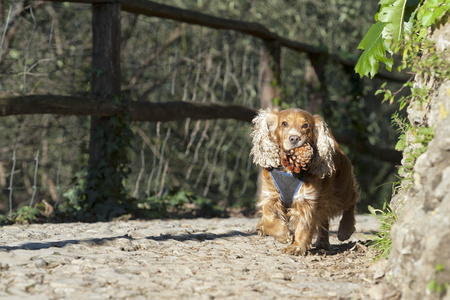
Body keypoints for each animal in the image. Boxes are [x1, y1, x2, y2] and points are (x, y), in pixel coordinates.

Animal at [250, 108, 358, 255]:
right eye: (284, 123)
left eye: (305, 125)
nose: (294, 138)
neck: (289, 171)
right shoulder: (270, 195)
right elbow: (268, 216)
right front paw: (282, 234)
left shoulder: (305, 199)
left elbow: (303, 224)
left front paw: (295, 247)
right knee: (324, 217)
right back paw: (323, 242)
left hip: (342, 189)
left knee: (352, 200)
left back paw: (345, 230)